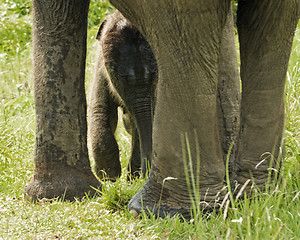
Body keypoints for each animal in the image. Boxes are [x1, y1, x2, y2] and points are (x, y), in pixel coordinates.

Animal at [88, 11, 157, 180]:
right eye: (114, 73)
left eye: (155, 73)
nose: (146, 174)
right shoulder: (100, 71)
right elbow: (100, 110)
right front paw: (107, 176)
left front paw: (133, 178)